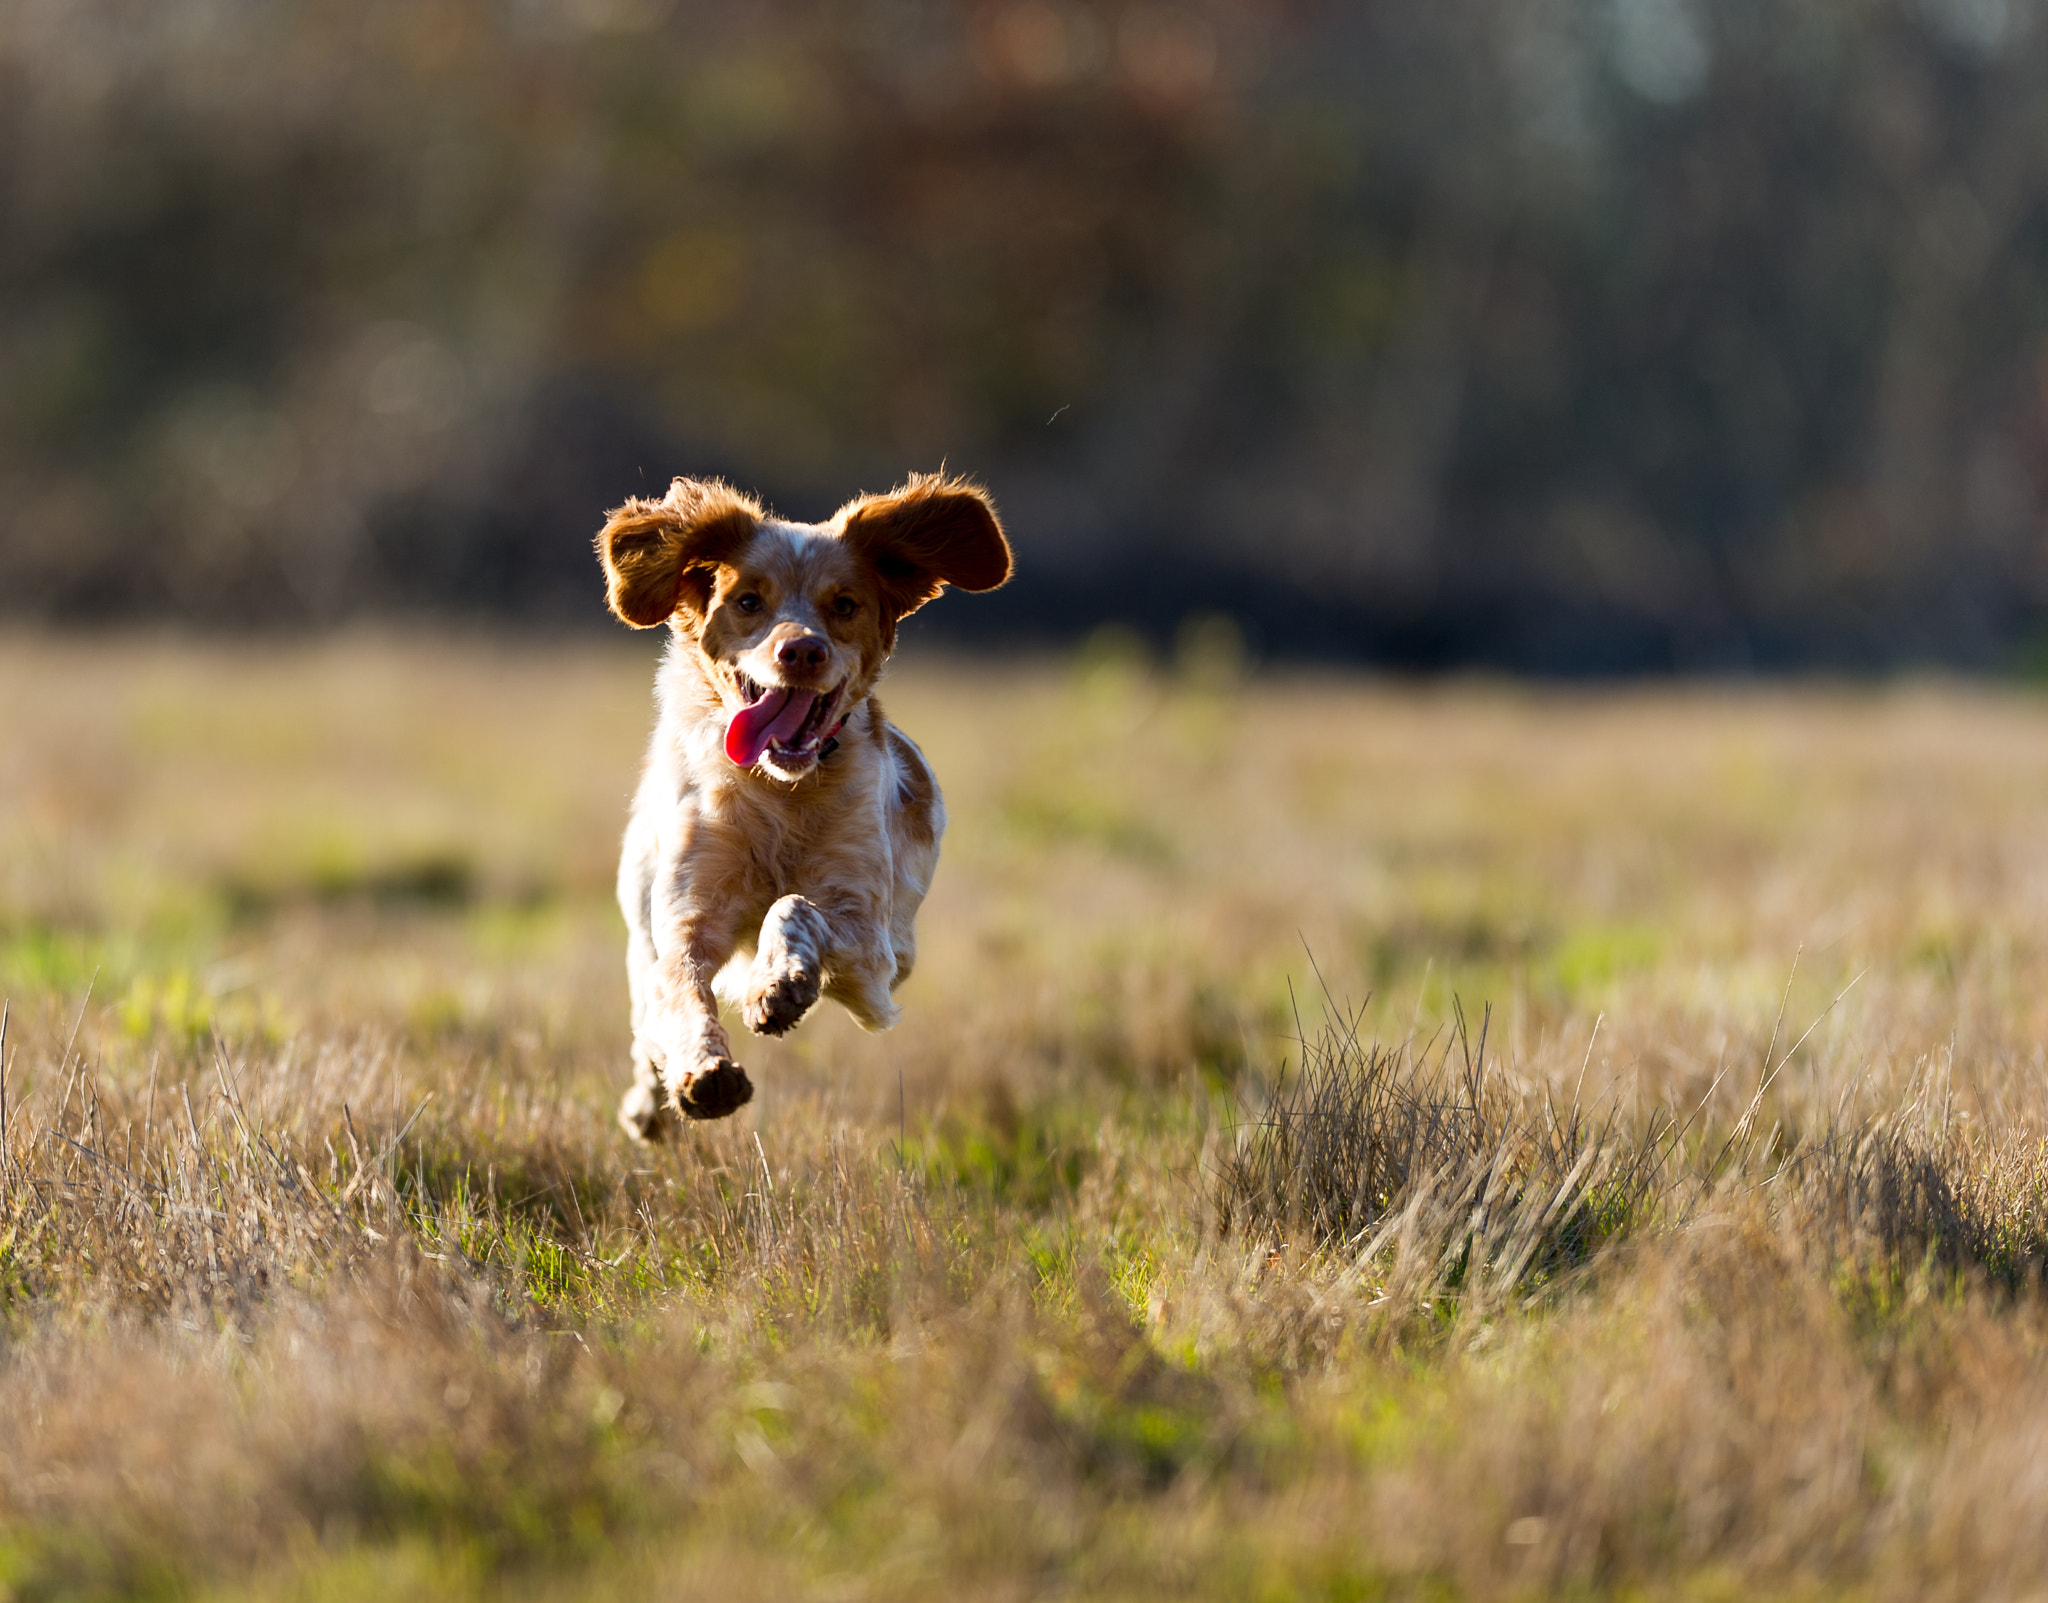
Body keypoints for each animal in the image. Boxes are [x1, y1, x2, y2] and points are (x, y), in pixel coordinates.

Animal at [593, 470, 1007, 1138]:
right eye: (747, 601)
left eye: (844, 604)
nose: (802, 651)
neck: (778, 795)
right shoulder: (685, 925)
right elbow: (682, 996)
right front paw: (704, 1073)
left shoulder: (873, 953)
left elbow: (794, 906)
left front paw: (780, 981)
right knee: (644, 1023)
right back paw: (648, 1104)